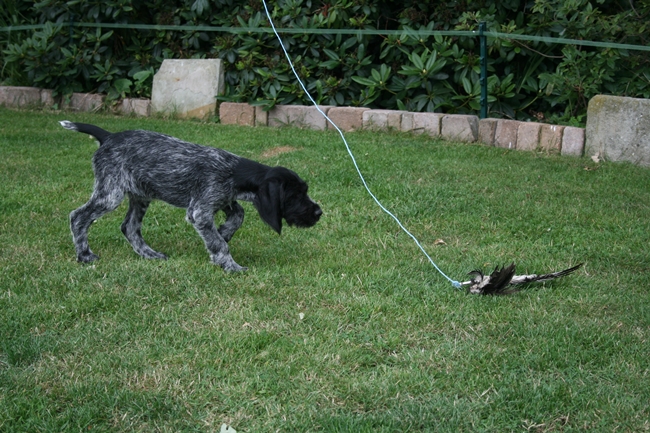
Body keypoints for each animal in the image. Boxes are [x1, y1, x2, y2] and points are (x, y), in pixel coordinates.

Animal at [59, 121, 322, 271]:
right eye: (295, 196)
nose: (318, 212)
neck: (234, 171)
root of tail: (109, 136)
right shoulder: (200, 209)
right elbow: (219, 242)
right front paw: (229, 264)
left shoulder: (222, 198)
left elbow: (238, 215)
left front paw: (224, 232)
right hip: (110, 194)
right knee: (78, 217)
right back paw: (84, 255)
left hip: (141, 196)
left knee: (129, 227)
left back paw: (149, 254)